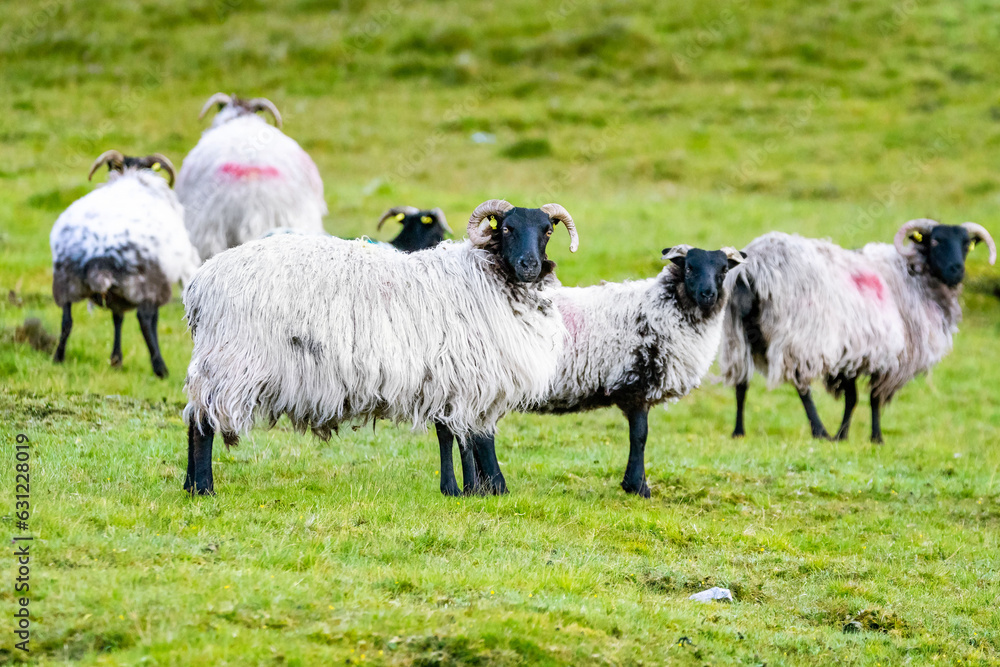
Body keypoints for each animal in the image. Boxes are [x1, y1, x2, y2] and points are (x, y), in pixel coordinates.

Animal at [50, 150, 201, 377]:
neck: (132, 177)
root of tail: (99, 254)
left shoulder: (116, 296)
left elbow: (117, 318)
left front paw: (116, 360)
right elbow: (150, 320)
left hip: (67, 281)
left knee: (66, 320)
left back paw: (58, 357)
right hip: (146, 281)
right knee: (145, 319)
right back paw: (160, 368)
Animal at [182, 199, 580, 495]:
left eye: (547, 230)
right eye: (507, 228)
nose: (529, 266)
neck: (486, 277)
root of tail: (201, 282)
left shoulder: (452, 378)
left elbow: (457, 436)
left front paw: (466, 489)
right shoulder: (470, 378)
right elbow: (475, 439)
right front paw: (486, 488)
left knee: (192, 417)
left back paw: (188, 486)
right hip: (231, 359)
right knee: (203, 423)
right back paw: (204, 488)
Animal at [437, 245, 747, 498]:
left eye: (723, 271)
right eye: (690, 268)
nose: (708, 294)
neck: (664, 308)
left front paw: (634, 485)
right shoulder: (636, 385)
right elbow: (640, 436)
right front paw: (638, 487)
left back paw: (475, 488)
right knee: (479, 434)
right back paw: (492, 487)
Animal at [719, 220, 996, 443]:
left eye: (967, 244)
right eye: (936, 240)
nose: (956, 270)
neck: (912, 276)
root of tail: (752, 267)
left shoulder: (853, 351)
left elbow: (852, 398)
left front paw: (844, 436)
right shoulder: (887, 356)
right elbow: (873, 398)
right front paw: (875, 438)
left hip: (737, 333)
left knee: (741, 384)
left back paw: (738, 431)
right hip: (799, 335)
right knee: (802, 387)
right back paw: (819, 431)